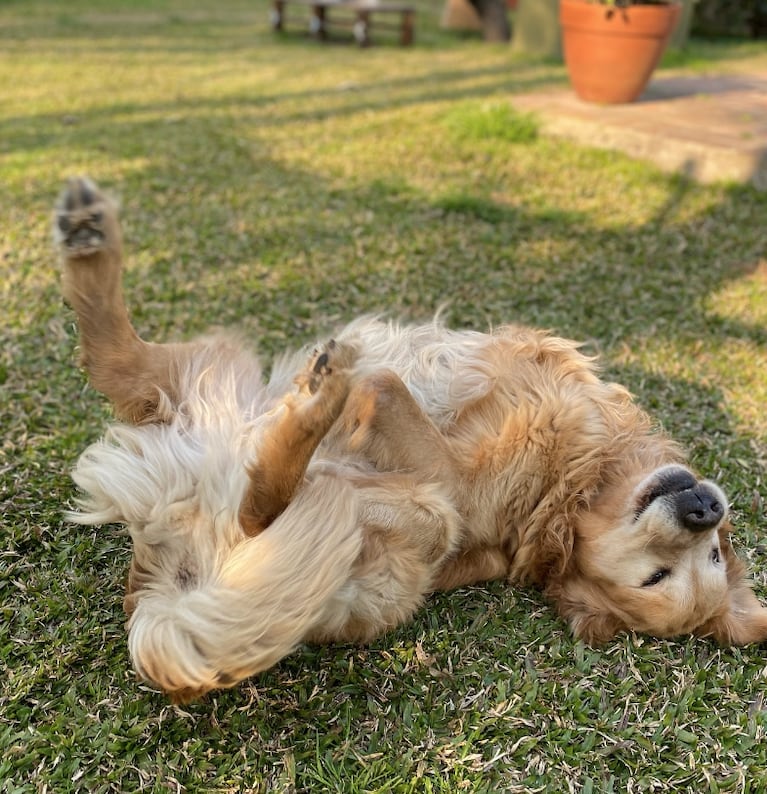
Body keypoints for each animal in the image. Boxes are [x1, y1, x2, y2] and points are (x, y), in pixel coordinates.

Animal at [54, 175, 767, 700]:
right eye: (707, 558)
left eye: (659, 577)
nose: (705, 509)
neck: (571, 487)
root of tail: (158, 589)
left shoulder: (450, 481)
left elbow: (389, 383)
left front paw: (352, 391)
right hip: (216, 366)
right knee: (116, 359)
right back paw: (89, 235)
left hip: (406, 512)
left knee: (257, 504)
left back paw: (316, 403)